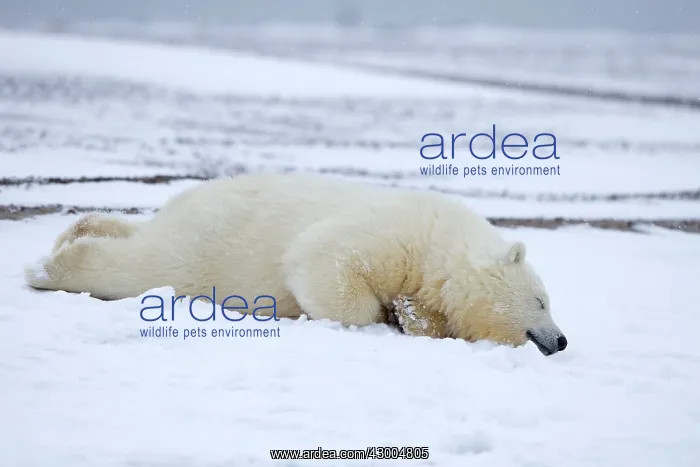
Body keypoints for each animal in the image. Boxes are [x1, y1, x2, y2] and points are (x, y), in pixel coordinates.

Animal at [25, 173, 567, 356]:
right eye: (542, 300)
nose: (561, 340)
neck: (440, 248)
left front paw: (413, 316)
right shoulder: (393, 234)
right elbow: (320, 257)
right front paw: (388, 313)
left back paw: (81, 225)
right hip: (204, 247)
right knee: (140, 266)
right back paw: (50, 266)